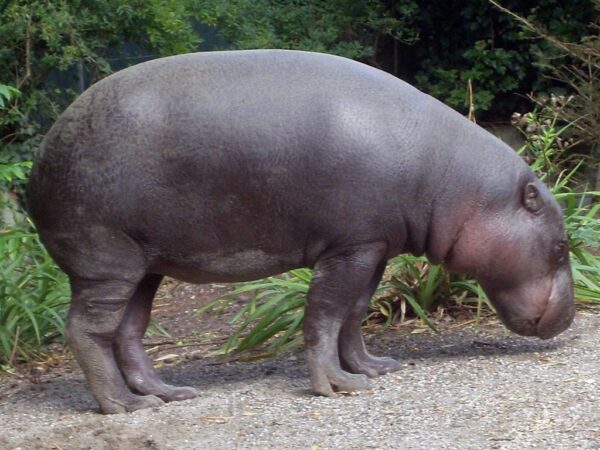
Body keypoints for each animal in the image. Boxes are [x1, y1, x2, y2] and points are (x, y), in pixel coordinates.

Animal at [28, 51, 576, 414]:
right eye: (562, 244)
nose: (569, 318)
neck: (454, 182)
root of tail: (41, 155)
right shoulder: (349, 248)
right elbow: (324, 315)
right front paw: (337, 387)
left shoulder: (372, 247)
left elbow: (354, 314)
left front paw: (373, 369)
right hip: (106, 262)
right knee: (87, 330)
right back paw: (124, 406)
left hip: (145, 265)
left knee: (128, 332)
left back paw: (167, 395)